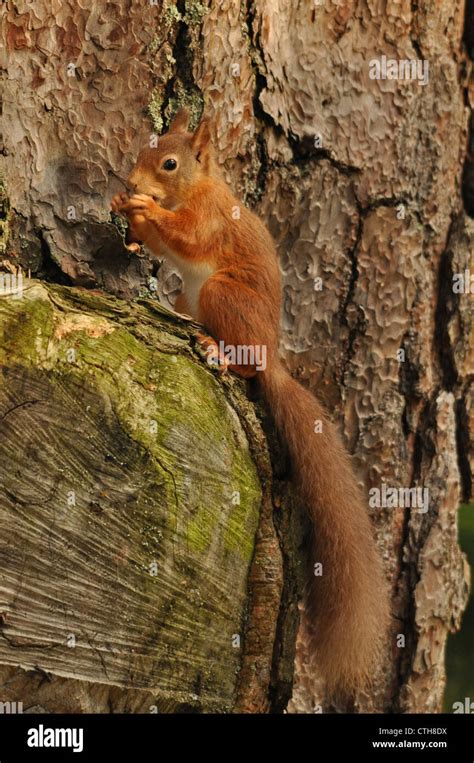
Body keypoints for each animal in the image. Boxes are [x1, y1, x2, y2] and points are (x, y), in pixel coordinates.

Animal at [111, 109, 388, 700]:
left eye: (170, 163)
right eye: (145, 150)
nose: (131, 181)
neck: (199, 187)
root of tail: (270, 355)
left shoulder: (211, 219)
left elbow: (188, 237)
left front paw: (146, 210)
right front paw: (127, 210)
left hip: (221, 295)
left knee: (243, 366)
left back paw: (221, 352)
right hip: (191, 295)